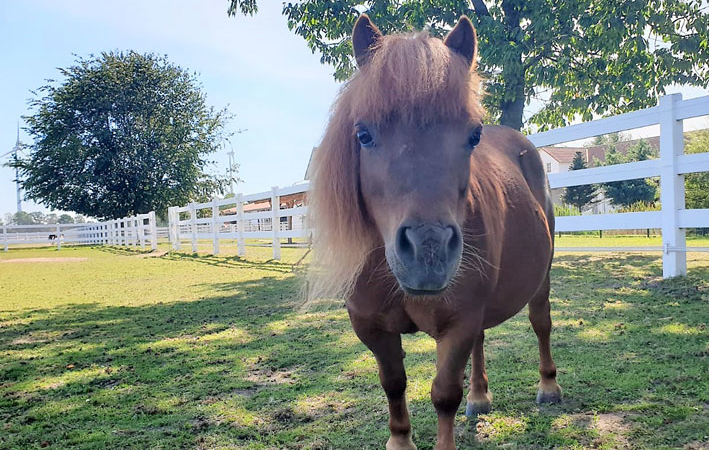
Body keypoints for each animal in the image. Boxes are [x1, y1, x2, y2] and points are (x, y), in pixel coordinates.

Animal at [306, 14, 560, 450]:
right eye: (363, 135)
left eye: (473, 136)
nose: (429, 249)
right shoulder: (372, 327)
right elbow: (393, 383)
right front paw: (400, 440)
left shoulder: (459, 321)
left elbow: (444, 394)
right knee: (481, 343)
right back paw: (480, 396)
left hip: (540, 278)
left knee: (540, 322)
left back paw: (548, 387)